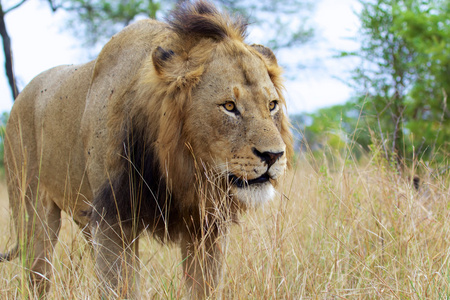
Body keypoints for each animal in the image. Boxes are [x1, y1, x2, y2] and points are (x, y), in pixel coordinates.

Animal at [1, 0, 294, 298]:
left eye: (272, 105)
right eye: (229, 106)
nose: (273, 155)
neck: (179, 167)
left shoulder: (205, 225)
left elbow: (204, 287)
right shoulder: (112, 218)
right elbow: (120, 287)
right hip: (31, 210)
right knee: (38, 272)